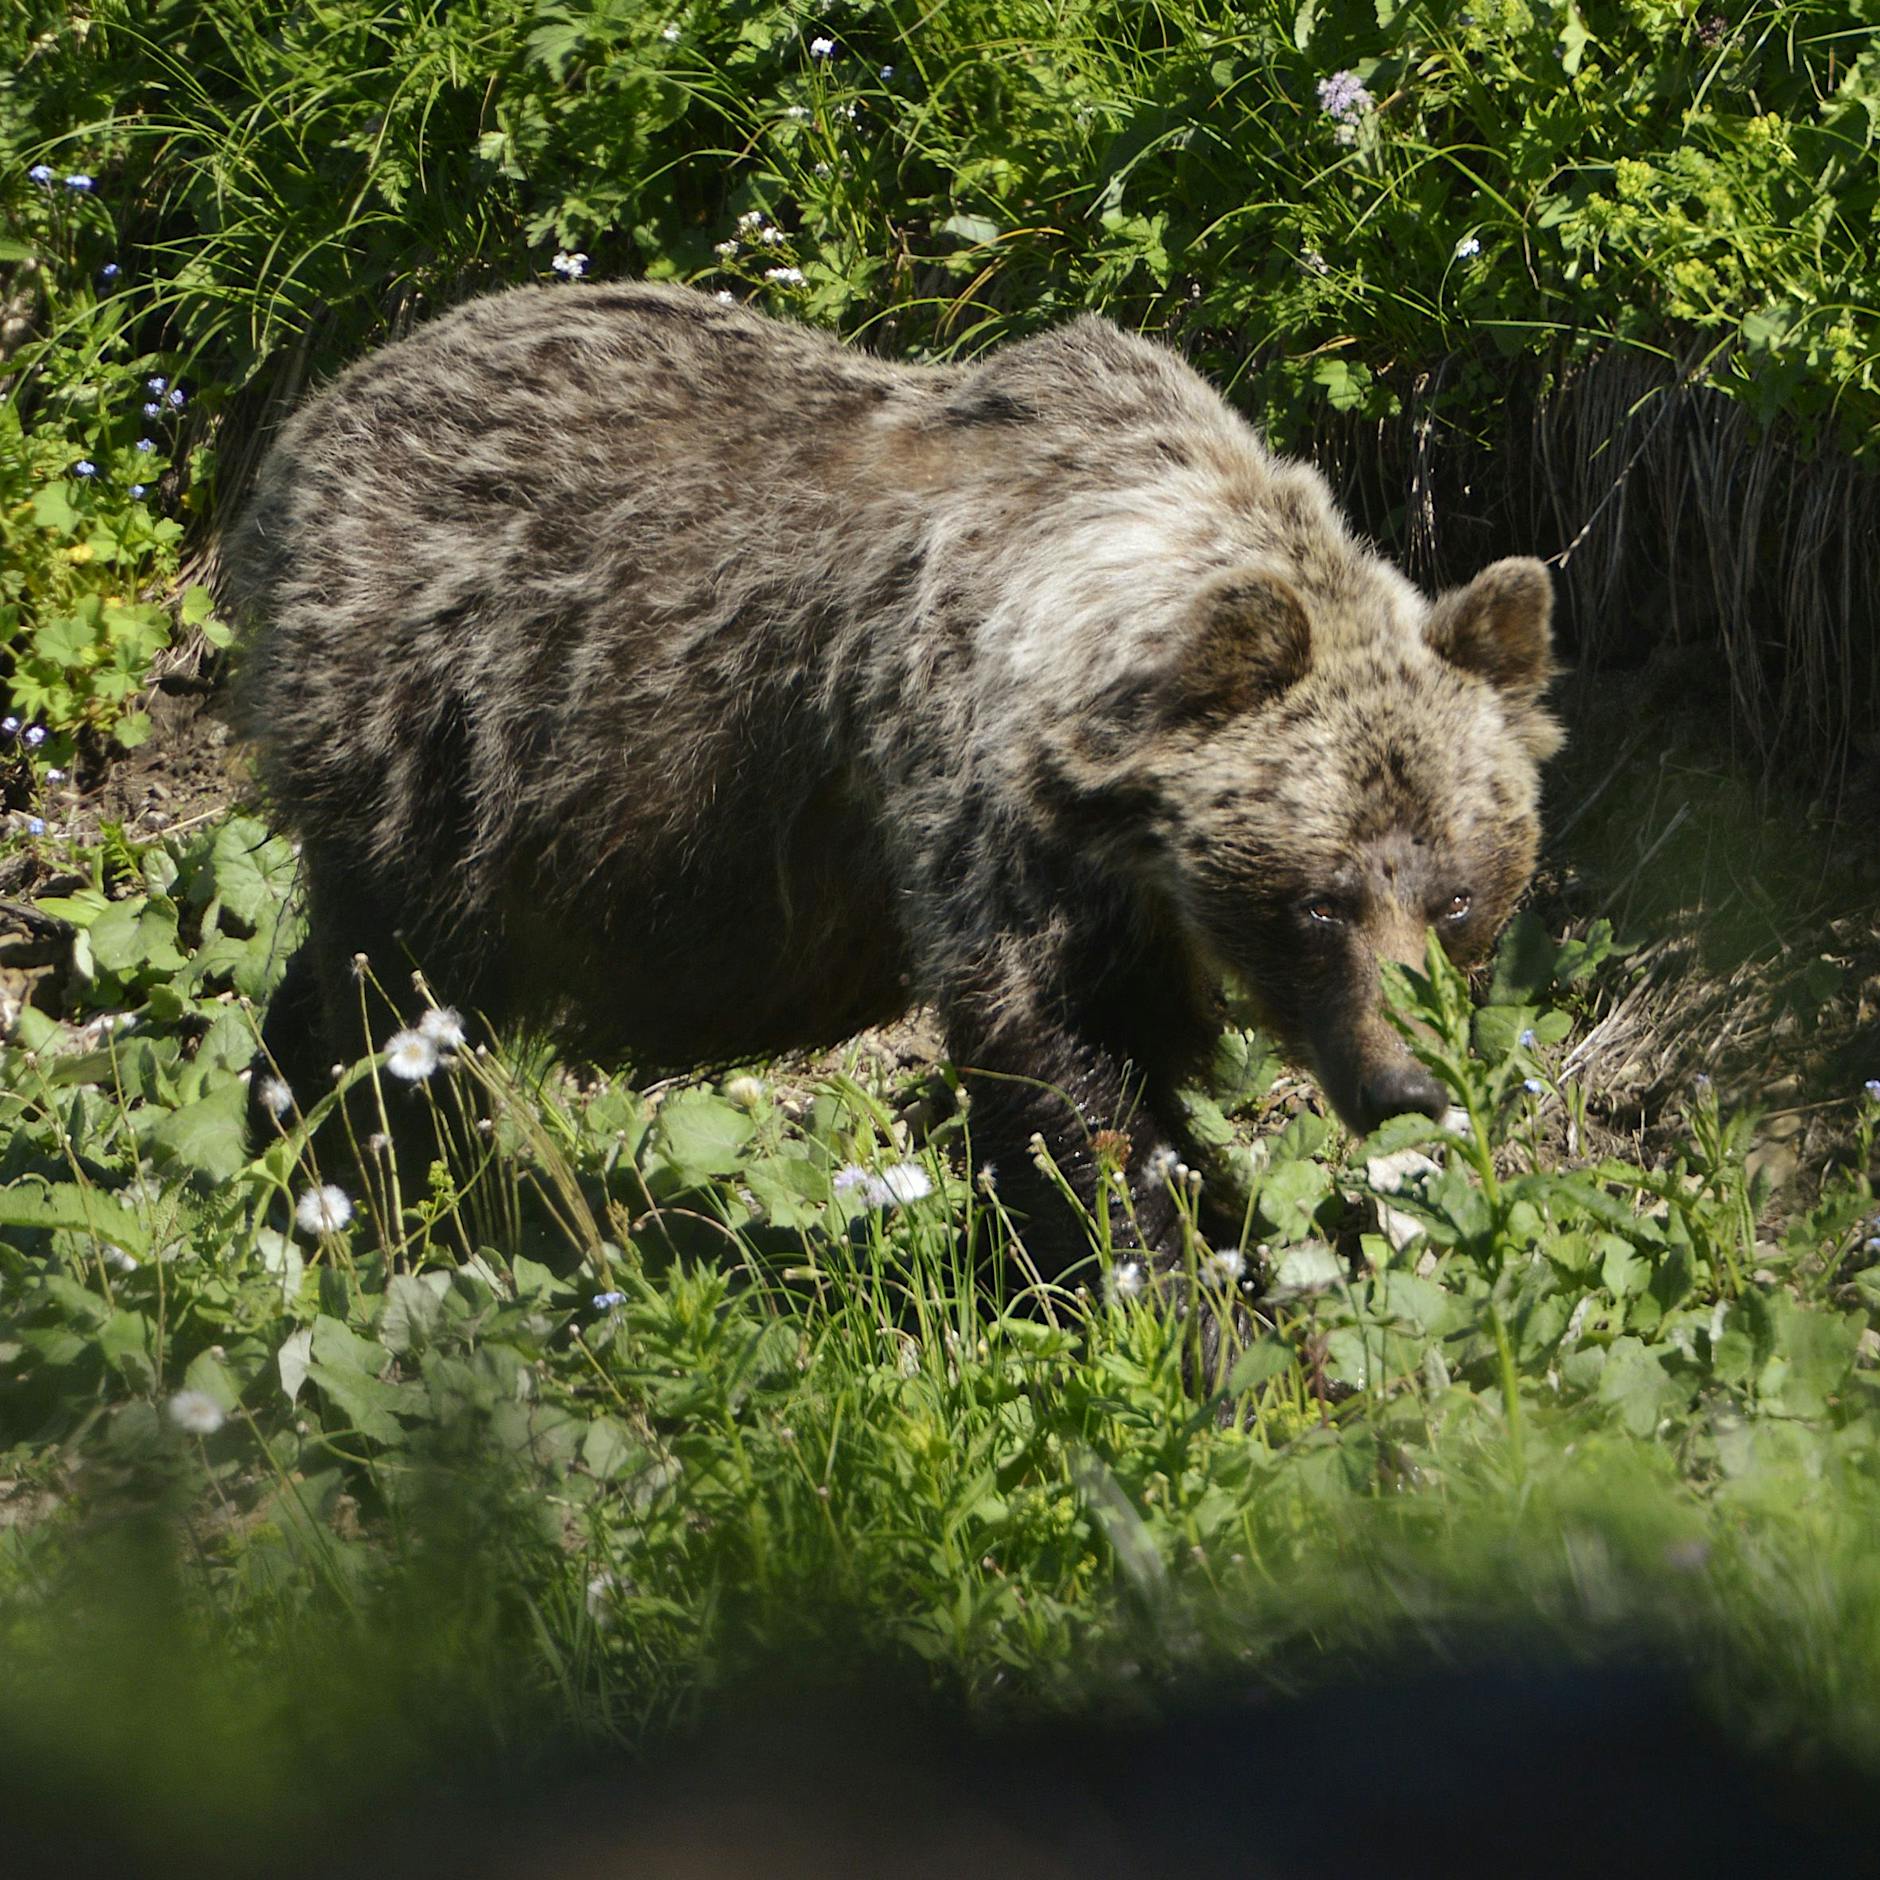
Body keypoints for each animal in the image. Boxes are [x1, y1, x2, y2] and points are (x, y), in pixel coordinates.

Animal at [220, 280, 1559, 1276]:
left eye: (1455, 894)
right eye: (1319, 899)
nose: (1405, 1081)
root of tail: (315, 415)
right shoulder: (978, 806)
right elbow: (1065, 1079)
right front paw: (1180, 1296)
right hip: (443, 737)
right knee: (395, 994)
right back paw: (374, 1186)